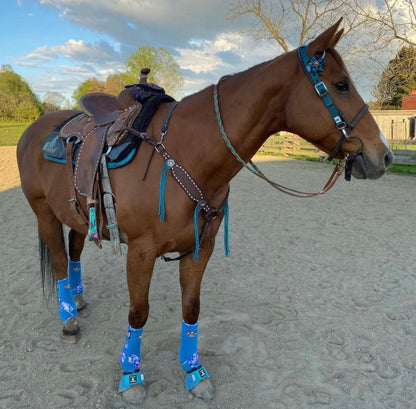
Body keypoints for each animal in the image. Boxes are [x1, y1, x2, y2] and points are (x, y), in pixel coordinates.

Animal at [16, 18, 394, 402]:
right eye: (341, 84)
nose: (385, 155)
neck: (185, 153)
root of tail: (35, 129)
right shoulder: (140, 252)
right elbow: (139, 313)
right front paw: (131, 374)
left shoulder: (200, 247)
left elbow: (191, 307)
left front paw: (194, 371)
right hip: (45, 214)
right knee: (59, 261)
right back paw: (68, 321)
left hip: (78, 215)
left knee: (74, 252)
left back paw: (78, 302)